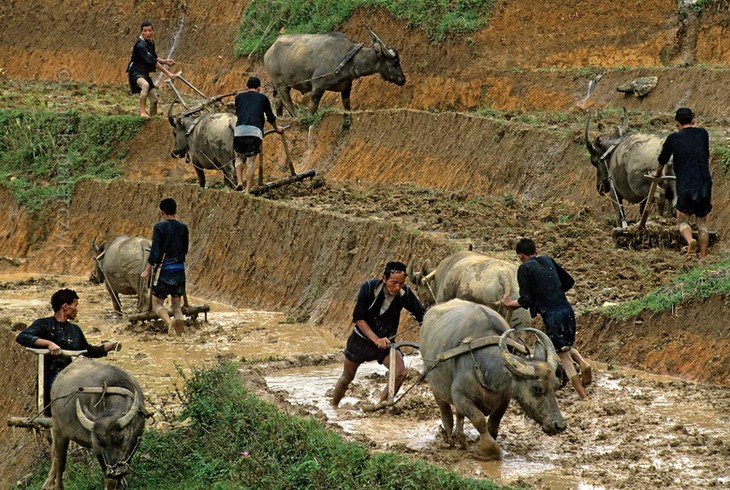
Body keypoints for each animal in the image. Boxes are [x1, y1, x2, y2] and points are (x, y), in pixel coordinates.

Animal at [44, 358, 148, 488]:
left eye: (120, 438)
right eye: (100, 443)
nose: (115, 471)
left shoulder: (136, 438)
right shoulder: (97, 449)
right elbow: (108, 478)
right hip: (58, 431)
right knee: (59, 461)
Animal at [262, 25, 404, 116]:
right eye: (395, 62)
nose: (403, 79)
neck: (348, 58)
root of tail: (269, 51)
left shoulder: (346, 88)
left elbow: (347, 106)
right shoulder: (318, 85)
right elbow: (313, 107)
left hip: (280, 85)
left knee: (278, 101)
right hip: (280, 84)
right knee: (287, 101)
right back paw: (296, 117)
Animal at [416, 296, 564, 462]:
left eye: (556, 386)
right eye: (537, 388)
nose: (559, 425)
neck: (485, 370)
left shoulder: (504, 398)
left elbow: (493, 423)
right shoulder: (460, 396)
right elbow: (479, 419)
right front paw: (490, 449)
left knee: (459, 416)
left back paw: (462, 440)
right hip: (436, 390)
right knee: (446, 414)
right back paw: (450, 440)